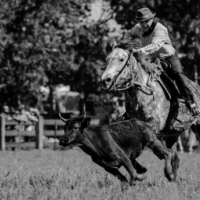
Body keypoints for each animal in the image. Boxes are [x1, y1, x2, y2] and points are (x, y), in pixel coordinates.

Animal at [101, 36, 200, 180]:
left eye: (121, 59)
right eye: (108, 59)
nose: (105, 80)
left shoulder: (153, 123)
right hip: (173, 134)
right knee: (175, 159)